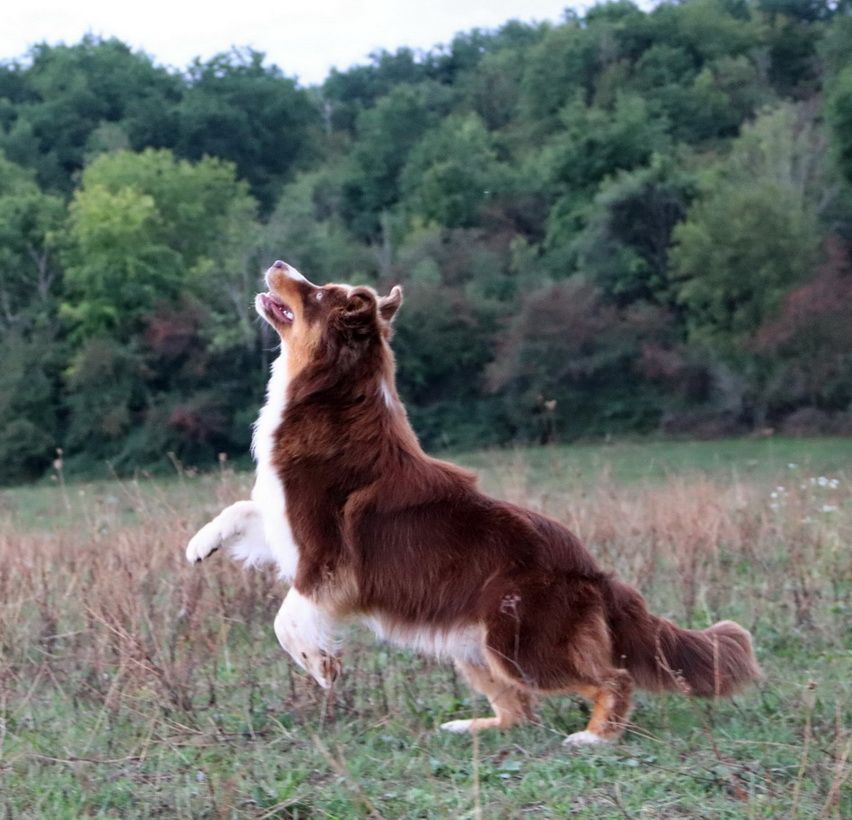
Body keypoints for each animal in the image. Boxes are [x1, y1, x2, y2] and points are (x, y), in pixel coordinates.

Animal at [186, 260, 760, 748]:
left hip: (519, 642)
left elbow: (287, 617)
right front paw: (199, 546)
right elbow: (241, 509)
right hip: (477, 648)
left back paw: (593, 737)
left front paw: (320, 664)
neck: (331, 395)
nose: (278, 264)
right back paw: (471, 726)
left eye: (317, 293)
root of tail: (595, 572)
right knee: (520, 711)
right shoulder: (284, 521)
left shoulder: (327, 559)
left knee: (610, 678)